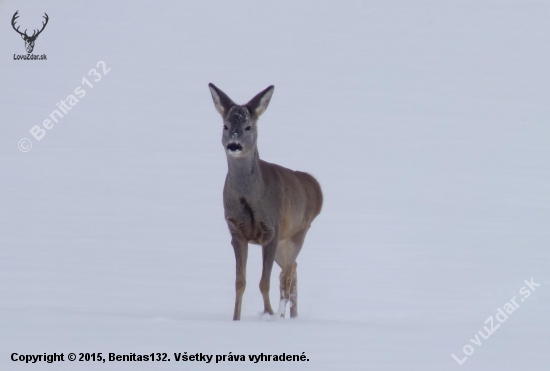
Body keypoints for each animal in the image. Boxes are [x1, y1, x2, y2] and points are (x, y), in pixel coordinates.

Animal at [210, 83, 324, 320]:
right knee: (293, 270)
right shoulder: (235, 231)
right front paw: (236, 318)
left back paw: (283, 315)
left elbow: (264, 282)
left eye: (248, 126)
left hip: (297, 234)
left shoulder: (271, 229)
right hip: (284, 243)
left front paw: (269, 314)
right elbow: (240, 282)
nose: (234, 145)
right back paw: (292, 316)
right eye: (226, 126)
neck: (250, 197)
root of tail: (317, 188)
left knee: (287, 275)